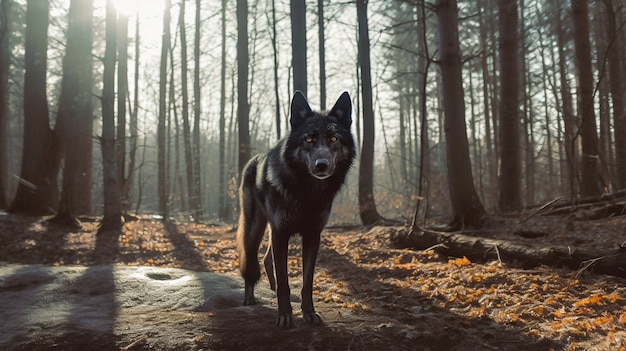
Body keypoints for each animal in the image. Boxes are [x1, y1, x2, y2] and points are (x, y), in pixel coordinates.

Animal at [235, 91, 354, 330]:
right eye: (308, 139)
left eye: (333, 139)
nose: (321, 165)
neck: (307, 192)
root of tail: (253, 160)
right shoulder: (281, 233)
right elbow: (284, 281)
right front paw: (285, 316)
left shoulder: (312, 236)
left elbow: (307, 282)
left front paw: (309, 313)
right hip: (256, 228)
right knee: (251, 259)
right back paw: (249, 297)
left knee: (266, 259)